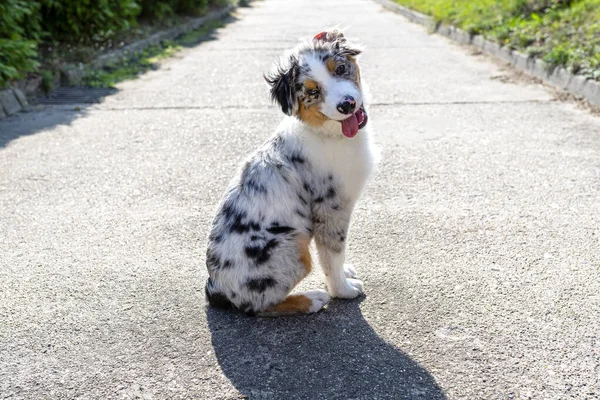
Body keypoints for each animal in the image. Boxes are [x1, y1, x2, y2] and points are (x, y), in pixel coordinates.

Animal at [206, 29, 376, 318]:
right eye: (313, 92)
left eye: (341, 69)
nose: (347, 104)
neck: (328, 134)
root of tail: (214, 287)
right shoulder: (330, 208)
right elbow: (332, 254)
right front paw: (343, 290)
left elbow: (336, 256)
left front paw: (346, 272)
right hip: (292, 246)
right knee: (257, 306)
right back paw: (312, 299)